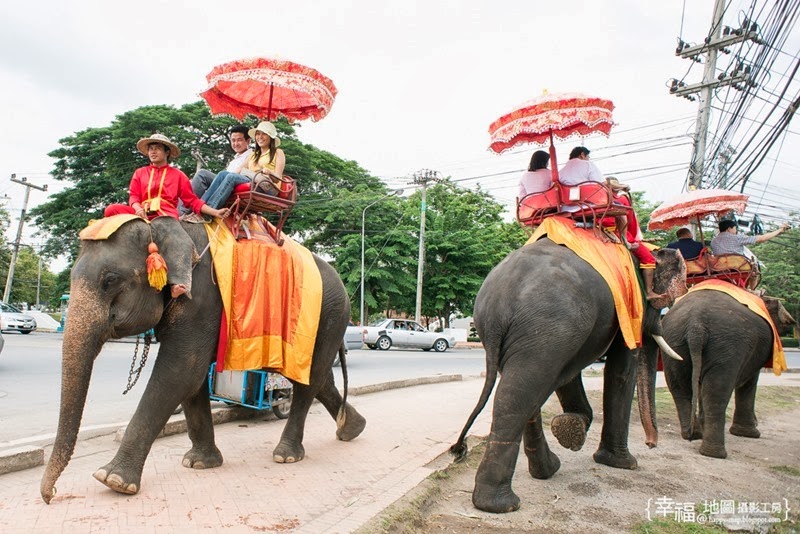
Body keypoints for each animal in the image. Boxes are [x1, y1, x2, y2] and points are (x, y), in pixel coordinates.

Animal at [40, 216, 366, 504]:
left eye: (110, 280)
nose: (50, 495)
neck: (163, 225)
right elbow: (193, 380)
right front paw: (200, 463)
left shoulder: (201, 299)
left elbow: (181, 371)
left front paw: (113, 480)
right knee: (319, 378)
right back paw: (352, 429)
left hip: (330, 315)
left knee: (308, 380)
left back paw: (286, 455)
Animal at [450, 240, 688, 516]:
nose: (651, 444)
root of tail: (499, 302)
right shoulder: (630, 305)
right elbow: (620, 369)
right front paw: (623, 463)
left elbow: (569, 373)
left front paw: (571, 427)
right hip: (549, 326)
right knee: (522, 393)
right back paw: (502, 504)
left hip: (536, 334)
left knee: (526, 387)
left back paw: (545, 468)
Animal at [660, 288, 796, 460]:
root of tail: (696, 326)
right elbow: (750, 381)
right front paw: (749, 434)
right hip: (728, 345)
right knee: (717, 391)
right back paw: (713, 453)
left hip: (675, 338)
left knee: (680, 387)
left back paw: (694, 435)